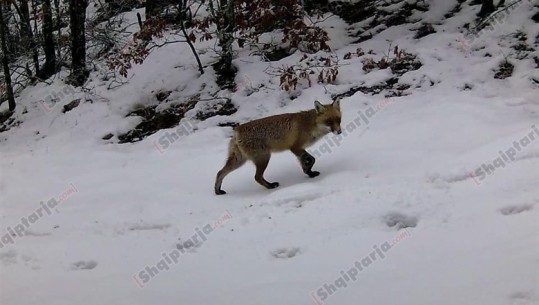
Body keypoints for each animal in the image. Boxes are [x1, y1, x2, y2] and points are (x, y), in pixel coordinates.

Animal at [214, 100, 342, 195]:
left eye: (338, 120)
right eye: (329, 121)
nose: (339, 132)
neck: (310, 125)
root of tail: (237, 131)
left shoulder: (297, 150)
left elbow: (306, 161)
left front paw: (309, 173)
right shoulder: (295, 147)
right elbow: (312, 159)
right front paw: (308, 170)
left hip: (239, 160)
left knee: (220, 172)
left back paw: (217, 191)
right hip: (264, 157)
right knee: (257, 177)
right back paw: (270, 186)